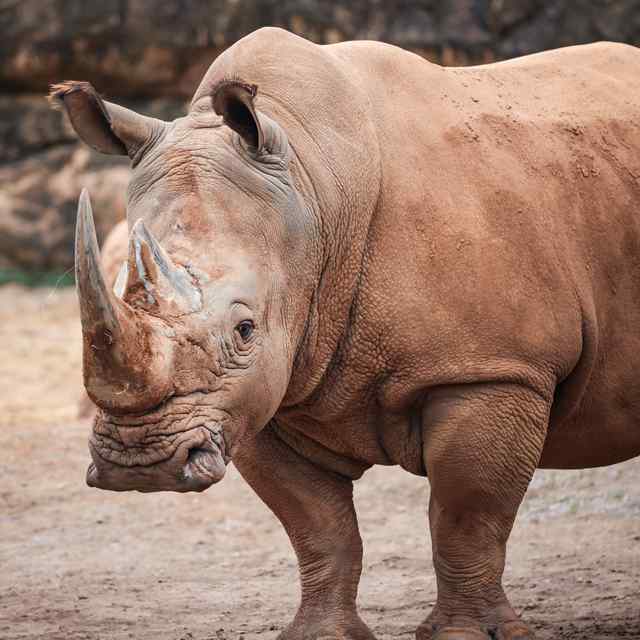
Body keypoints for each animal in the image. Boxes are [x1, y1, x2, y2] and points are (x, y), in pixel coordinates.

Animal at [51, 28, 640, 640]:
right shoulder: (259, 394)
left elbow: (467, 516)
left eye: (244, 329)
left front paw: (462, 634)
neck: (313, 193)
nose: (140, 464)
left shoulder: (494, 369)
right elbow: (318, 527)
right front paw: (321, 633)